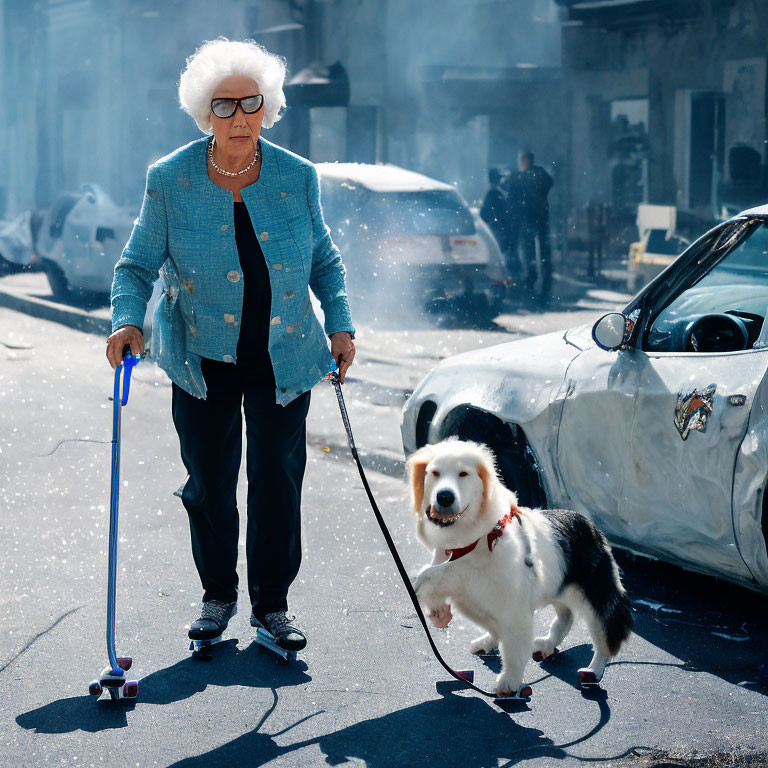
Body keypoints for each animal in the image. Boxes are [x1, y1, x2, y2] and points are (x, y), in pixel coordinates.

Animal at [404, 438, 632, 696]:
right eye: (434, 473)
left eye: (464, 473)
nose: (444, 497)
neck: (473, 543)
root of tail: (592, 526)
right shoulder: (475, 595)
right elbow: (492, 625)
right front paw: (483, 640)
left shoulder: (514, 611)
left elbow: (513, 650)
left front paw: (509, 683)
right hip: (556, 588)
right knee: (566, 618)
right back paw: (546, 644)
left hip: (595, 597)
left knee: (604, 637)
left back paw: (593, 671)